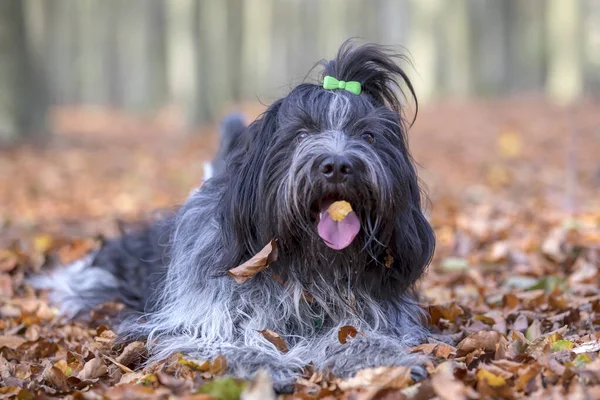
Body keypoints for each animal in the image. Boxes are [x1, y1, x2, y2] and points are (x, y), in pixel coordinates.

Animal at [34, 42, 436, 390]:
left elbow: (359, 334)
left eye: (367, 136)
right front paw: (264, 364)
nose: (338, 165)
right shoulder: (192, 318)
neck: (305, 268)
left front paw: (384, 358)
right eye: (301, 134)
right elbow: (222, 342)